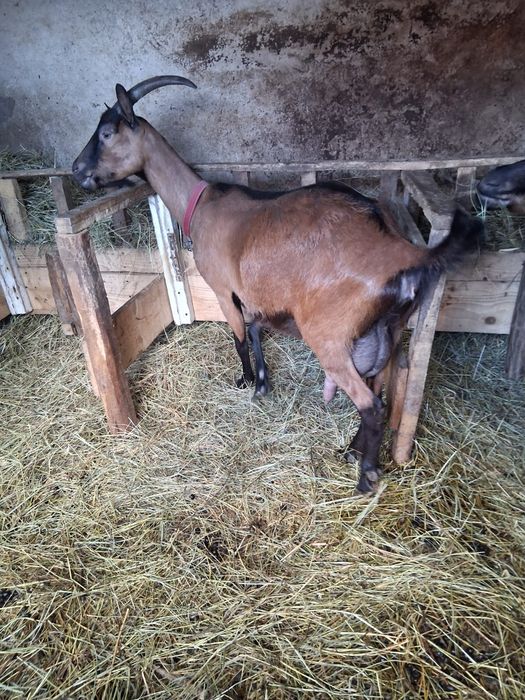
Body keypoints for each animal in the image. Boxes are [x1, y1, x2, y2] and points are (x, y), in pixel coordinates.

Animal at [72, 76, 483, 494]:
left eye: (106, 133)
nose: (76, 169)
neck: (200, 204)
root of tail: (398, 251)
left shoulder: (223, 289)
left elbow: (238, 336)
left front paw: (245, 380)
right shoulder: (254, 293)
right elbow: (255, 330)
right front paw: (263, 383)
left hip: (329, 335)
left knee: (371, 405)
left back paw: (366, 475)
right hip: (389, 332)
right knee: (379, 391)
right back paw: (352, 451)